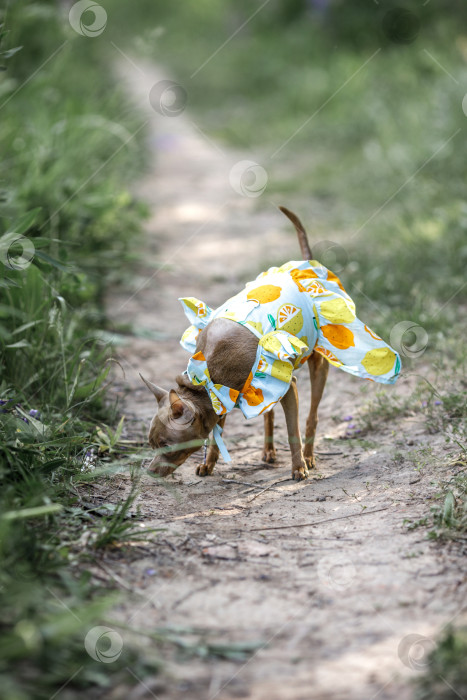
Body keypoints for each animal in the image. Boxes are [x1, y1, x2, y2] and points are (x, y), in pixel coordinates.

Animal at [141, 208, 330, 482]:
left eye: (167, 445)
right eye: (151, 445)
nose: (150, 472)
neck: (208, 375)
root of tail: (302, 267)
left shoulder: (288, 388)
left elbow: (292, 431)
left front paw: (298, 467)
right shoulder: (224, 398)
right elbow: (215, 435)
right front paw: (208, 463)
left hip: (316, 367)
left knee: (311, 416)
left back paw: (309, 456)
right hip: (267, 386)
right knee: (269, 414)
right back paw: (268, 451)